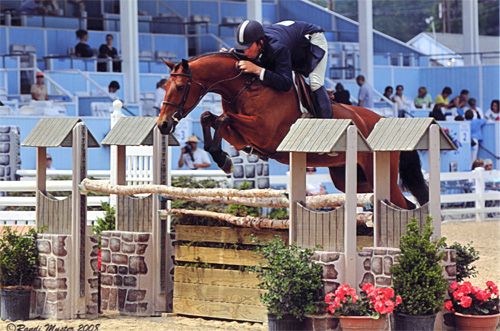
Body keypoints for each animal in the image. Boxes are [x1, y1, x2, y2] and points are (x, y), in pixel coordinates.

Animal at [157, 52, 430, 210]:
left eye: (179, 87)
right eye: (165, 86)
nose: (163, 125)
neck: (248, 86)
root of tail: (385, 121)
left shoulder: (264, 133)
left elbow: (223, 118)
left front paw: (223, 159)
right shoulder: (244, 136)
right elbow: (210, 117)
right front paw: (222, 157)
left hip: (378, 174)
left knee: (403, 204)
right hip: (349, 178)